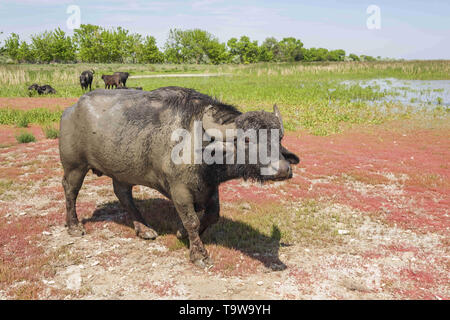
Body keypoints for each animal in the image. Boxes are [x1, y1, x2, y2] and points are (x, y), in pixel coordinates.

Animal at [59, 87, 298, 268]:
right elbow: (192, 219)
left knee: (123, 194)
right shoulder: (179, 190)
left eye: (279, 137)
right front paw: (199, 254)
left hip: (122, 171)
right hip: (75, 166)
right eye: (247, 140)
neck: (201, 143)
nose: (282, 170)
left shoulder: (210, 188)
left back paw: (143, 229)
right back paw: (74, 226)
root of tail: (71, 110)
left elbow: (212, 215)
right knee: (71, 191)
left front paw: (182, 233)